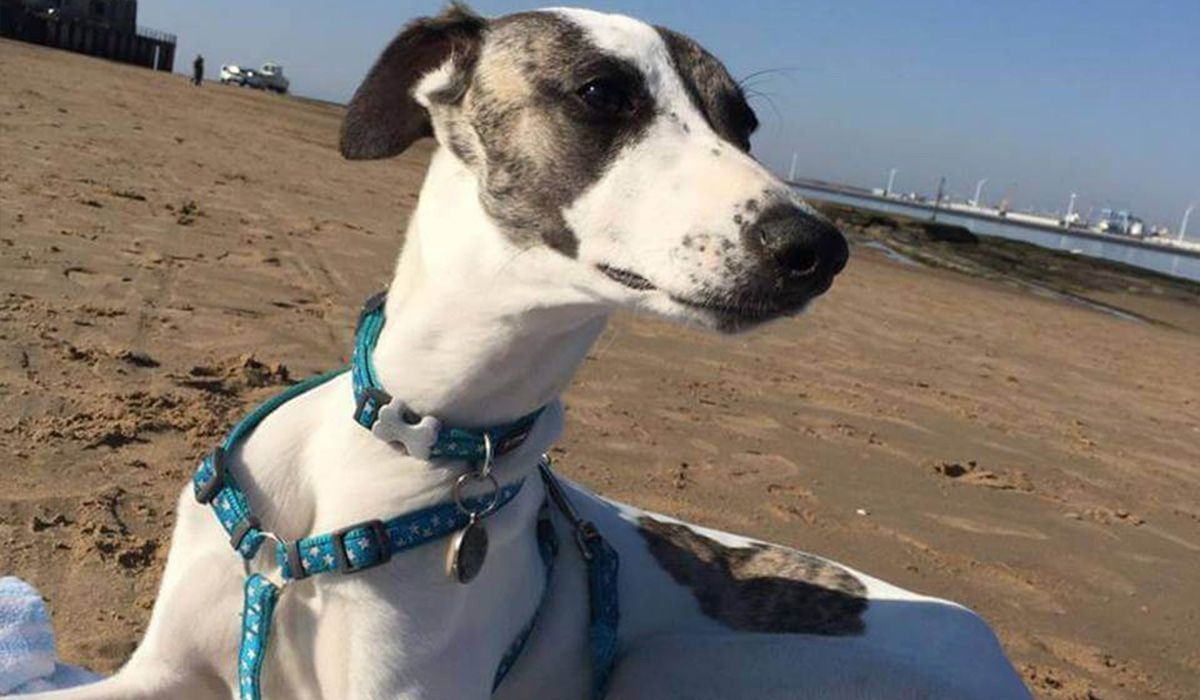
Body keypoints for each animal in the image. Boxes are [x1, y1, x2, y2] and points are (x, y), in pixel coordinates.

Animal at [35, 5, 1032, 700]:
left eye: (742, 124)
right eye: (603, 94)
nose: (818, 250)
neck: (404, 436)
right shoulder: (157, 674)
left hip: (671, 667)